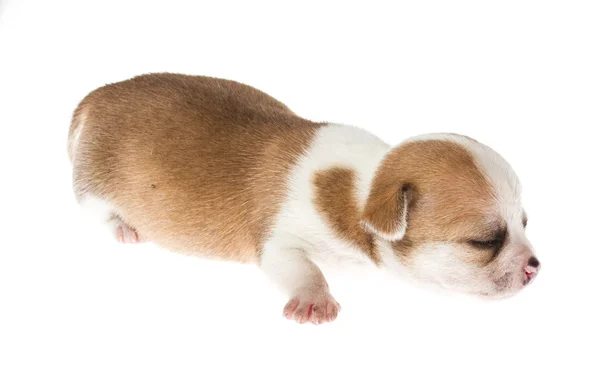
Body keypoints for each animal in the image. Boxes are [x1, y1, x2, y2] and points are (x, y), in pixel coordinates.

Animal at [68, 73, 540, 324]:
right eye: (484, 241)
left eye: (525, 224)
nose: (536, 266)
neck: (360, 188)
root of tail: (97, 96)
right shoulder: (278, 241)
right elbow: (301, 266)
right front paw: (314, 298)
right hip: (95, 185)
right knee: (95, 210)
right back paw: (123, 227)